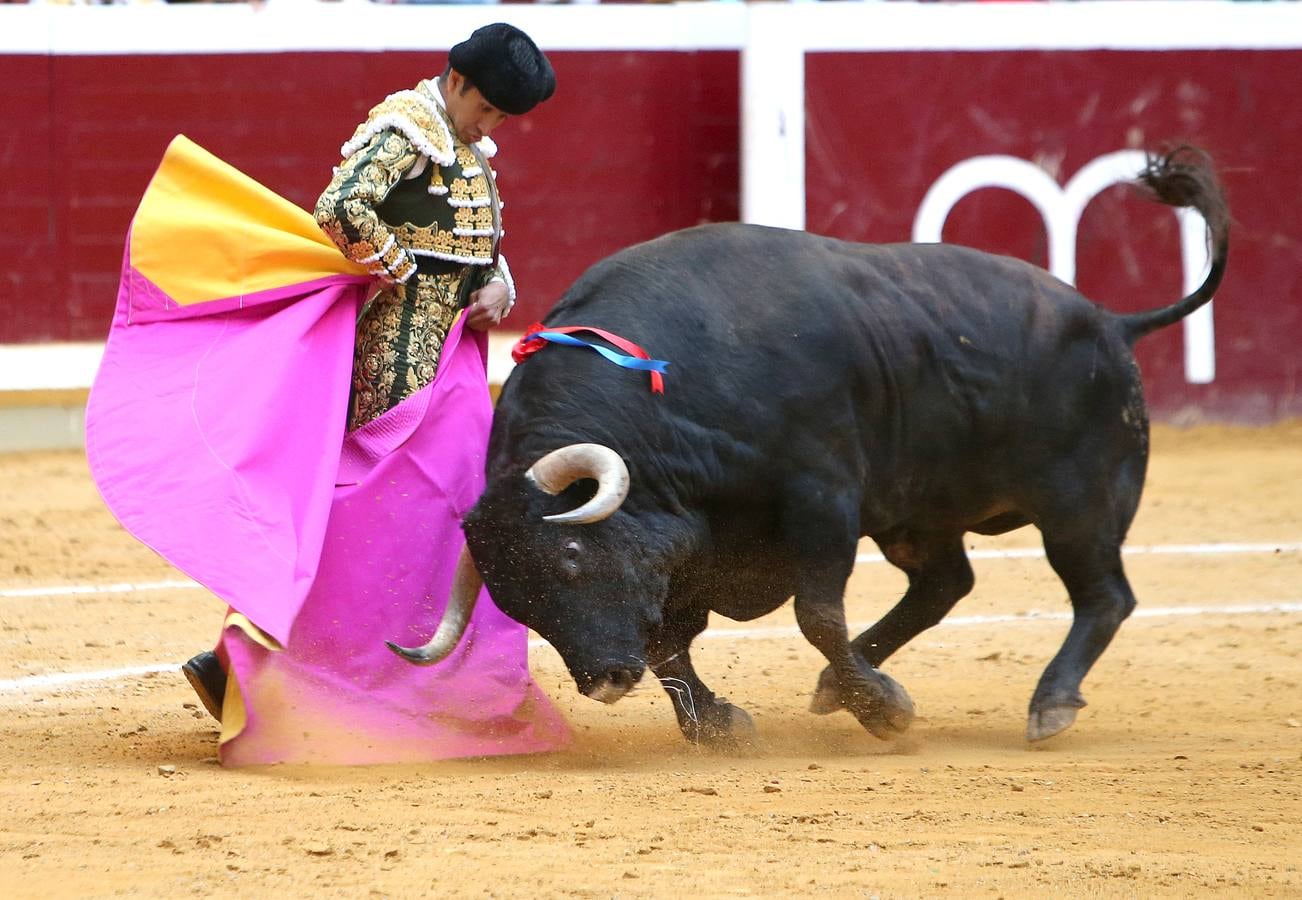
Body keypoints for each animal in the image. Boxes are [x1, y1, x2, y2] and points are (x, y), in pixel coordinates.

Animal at [385, 149, 1229, 745]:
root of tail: (1113, 320)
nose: (604, 681)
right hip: (919, 513)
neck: (670, 389)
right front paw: (719, 726)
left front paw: (883, 711)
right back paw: (842, 687)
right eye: (517, 606)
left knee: (1103, 595)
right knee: (945, 583)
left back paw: (1048, 704)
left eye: (567, 557)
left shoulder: (821, 498)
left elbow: (815, 613)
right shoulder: (698, 546)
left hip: (1080, 503)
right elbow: (670, 642)